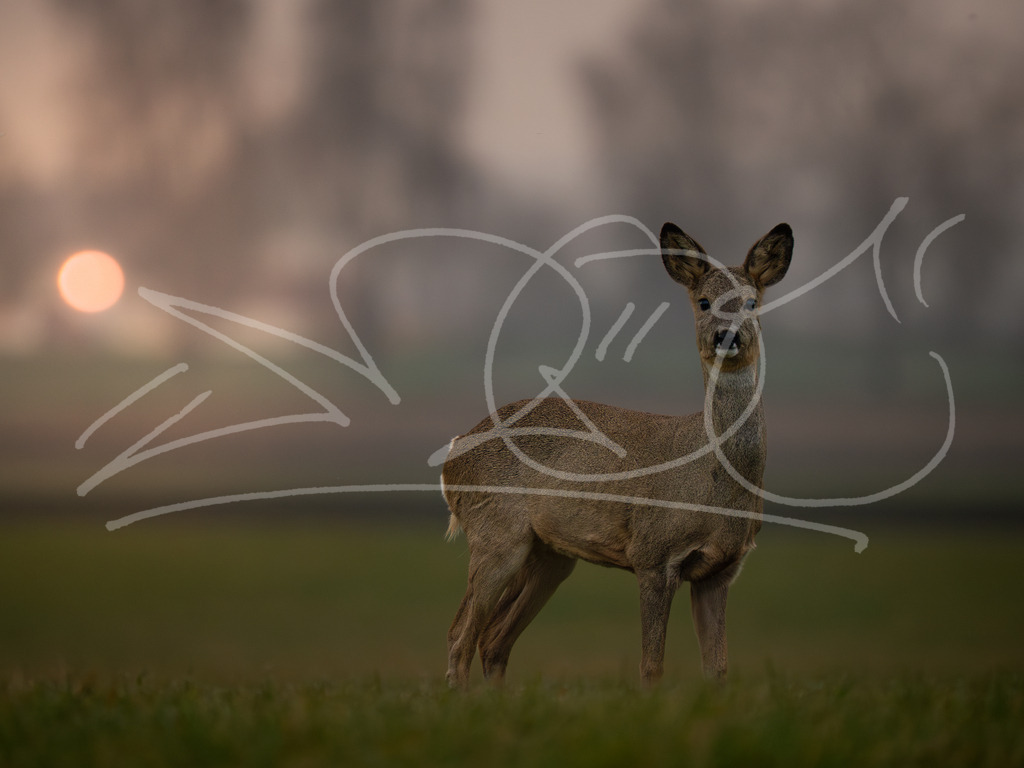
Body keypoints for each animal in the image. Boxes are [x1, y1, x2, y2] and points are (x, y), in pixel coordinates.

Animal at [440, 220, 793, 687]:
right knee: (460, 635)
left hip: (548, 555)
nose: (727, 336)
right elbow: (651, 665)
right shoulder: (654, 554)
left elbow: (717, 669)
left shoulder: (721, 569)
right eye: (703, 302)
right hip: (496, 533)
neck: (712, 477)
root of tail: (452, 454)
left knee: (493, 638)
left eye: (753, 302)